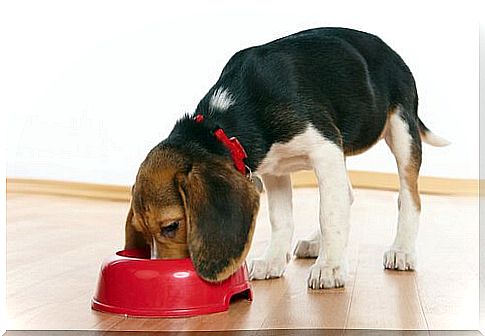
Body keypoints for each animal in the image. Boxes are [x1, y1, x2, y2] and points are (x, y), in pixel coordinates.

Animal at [123, 27, 448, 288]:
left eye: (171, 226)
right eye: (142, 231)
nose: (164, 276)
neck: (221, 126)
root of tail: (389, 48)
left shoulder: (324, 149)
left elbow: (329, 214)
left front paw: (330, 268)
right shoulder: (274, 170)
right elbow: (282, 219)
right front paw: (274, 260)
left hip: (402, 129)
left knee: (408, 197)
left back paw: (401, 249)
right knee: (346, 195)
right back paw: (317, 243)